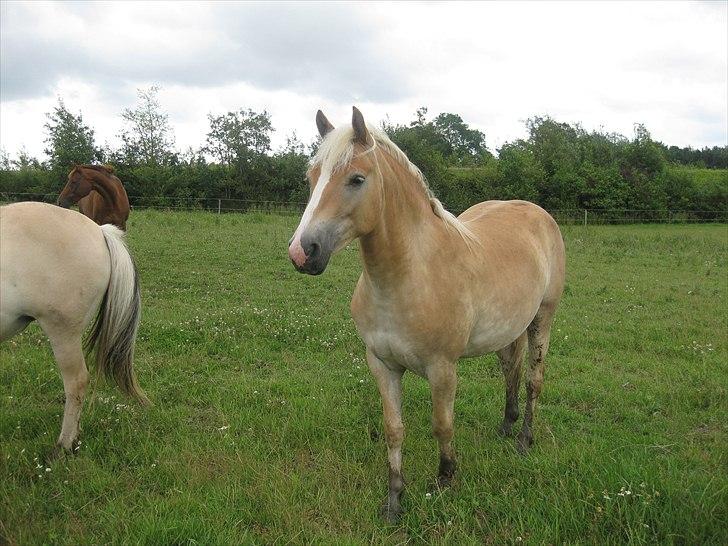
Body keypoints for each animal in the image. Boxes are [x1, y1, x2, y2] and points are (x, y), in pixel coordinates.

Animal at [290, 106, 568, 520]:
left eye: (357, 179)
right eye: (312, 178)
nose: (302, 252)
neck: (407, 278)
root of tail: (536, 212)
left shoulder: (442, 368)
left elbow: (442, 425)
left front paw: (446, 480)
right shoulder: (382, 364)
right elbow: (394, 429)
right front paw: (394, 501)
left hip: (542, 319)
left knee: (534, 379)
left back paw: (524, 440)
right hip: (508, 329)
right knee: (510, 368)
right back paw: (506, 425)